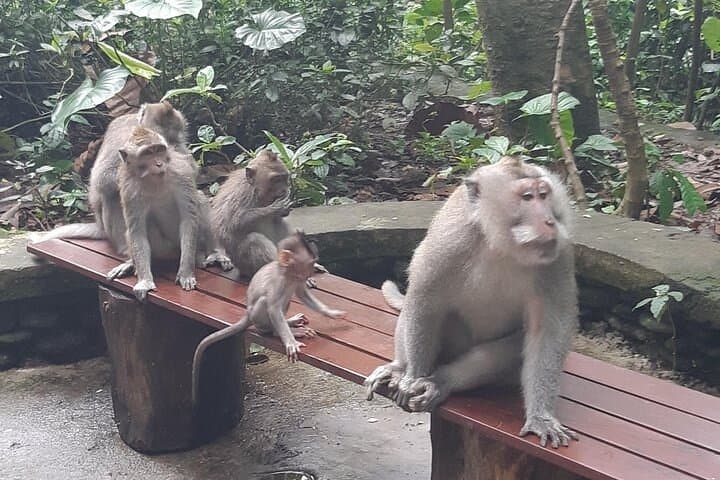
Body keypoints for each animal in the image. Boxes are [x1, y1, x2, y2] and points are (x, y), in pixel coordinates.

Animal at [191, 231, 346, 405]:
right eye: (310, 263)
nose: (312, 270)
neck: (288, 274)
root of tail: (248, 313)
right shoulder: (278, 282)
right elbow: (273, 308)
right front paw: (291, 342)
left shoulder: (298, 280)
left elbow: (302, 294)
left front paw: (331, 313)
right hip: (257, 315)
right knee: (266, 304)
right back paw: (279, 332)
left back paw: (290, 322)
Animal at [364, 156, 580, 449]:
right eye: (527, 197)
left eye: (544, 195)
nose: (549, 221)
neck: (499, 244)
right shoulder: (450, 240)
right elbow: (424, 299)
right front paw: (411, 376)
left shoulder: (558, 254)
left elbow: (548, 332)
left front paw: (541, 417)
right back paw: (400, 368)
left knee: (512, 346)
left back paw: (441, 382)